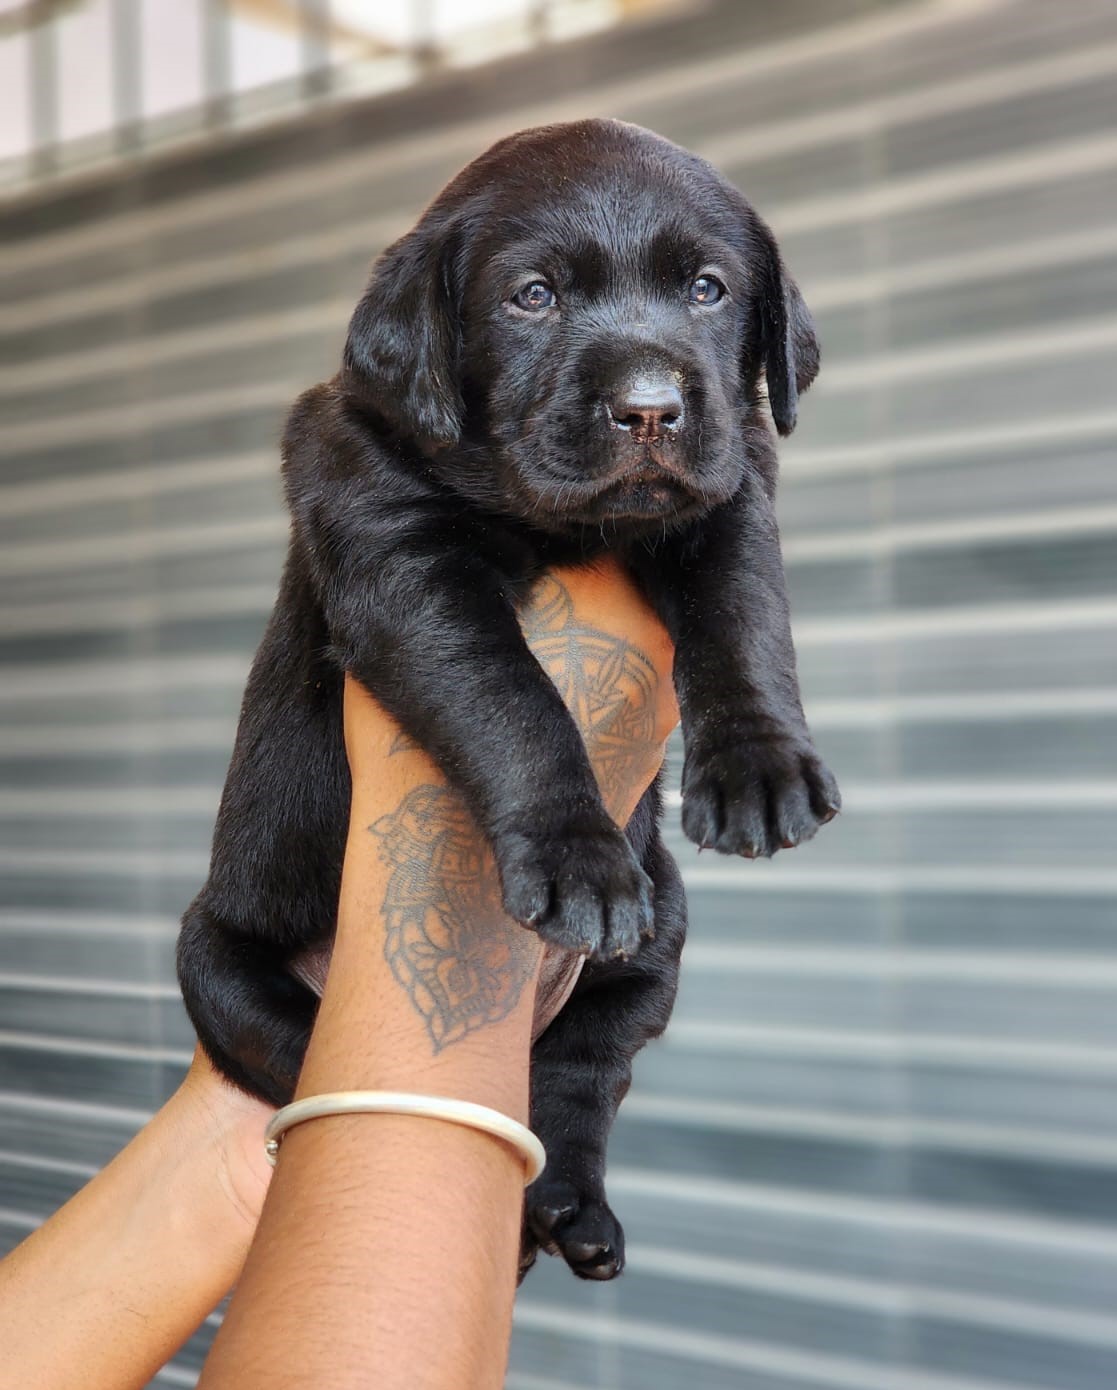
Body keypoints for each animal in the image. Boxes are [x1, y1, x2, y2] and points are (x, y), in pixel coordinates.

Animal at [176, 119, 839, 1278]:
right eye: (532, 296)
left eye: (708, 289)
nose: (650, 410)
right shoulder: (395, 545)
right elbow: (511, 698)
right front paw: (576, 853)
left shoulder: (729, 485)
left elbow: (745, 612)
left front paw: (761, 768)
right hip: (219, 958)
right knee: (311, 1065)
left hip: (655, 945)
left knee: (578, 1081)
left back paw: (571, 1212)